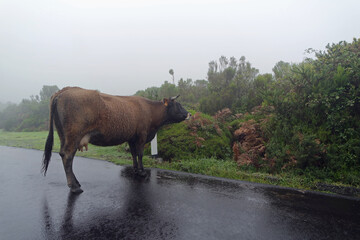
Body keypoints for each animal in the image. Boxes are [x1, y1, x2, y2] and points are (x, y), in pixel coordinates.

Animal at [41, 86, 191, 193]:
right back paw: (74, 187)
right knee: (68, 156)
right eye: (178, 105)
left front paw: (135, 170)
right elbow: (140, 154)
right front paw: (142, 172)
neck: (150, 110)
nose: (189, 114)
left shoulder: (131, 137)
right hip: (73, 136)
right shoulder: (141, 136)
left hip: (63, 136)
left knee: (63, 154)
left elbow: (133, 154)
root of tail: (63, 90)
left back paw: (76, 182)